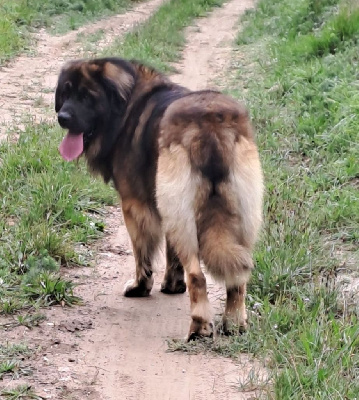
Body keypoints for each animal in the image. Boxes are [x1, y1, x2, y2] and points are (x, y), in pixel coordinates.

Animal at [56, 57, 264, 340]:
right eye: (65, 94)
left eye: (87, 97)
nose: (62, 117)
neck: (125, 106)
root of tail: (210, 124)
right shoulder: (165, 206)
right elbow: (170, 252)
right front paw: (172, 285)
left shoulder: (135, 205)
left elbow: (142, 253)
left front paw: (140, 287)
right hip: (240, 216)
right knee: (238, 277)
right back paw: (234, 323)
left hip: (184, 215)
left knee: (197, 276)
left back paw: (199, 326)